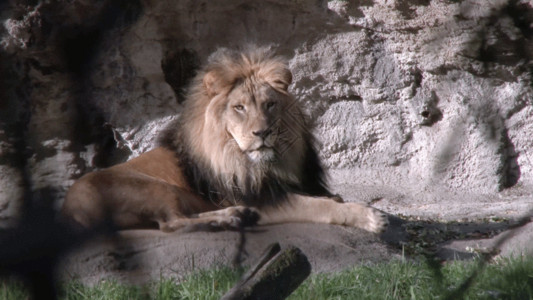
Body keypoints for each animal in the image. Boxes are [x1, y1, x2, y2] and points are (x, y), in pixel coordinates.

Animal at [61, 47, 386, 234]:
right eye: (239, 108)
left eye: (270, 104)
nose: (262, 133)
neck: (270, 163)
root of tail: (68, 210)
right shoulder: (264, 200)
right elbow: (321, 207)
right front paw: (371, 217)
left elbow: (326, 198)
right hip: (153, 189)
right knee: (170, 224)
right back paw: (230, 219)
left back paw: (235, 217)